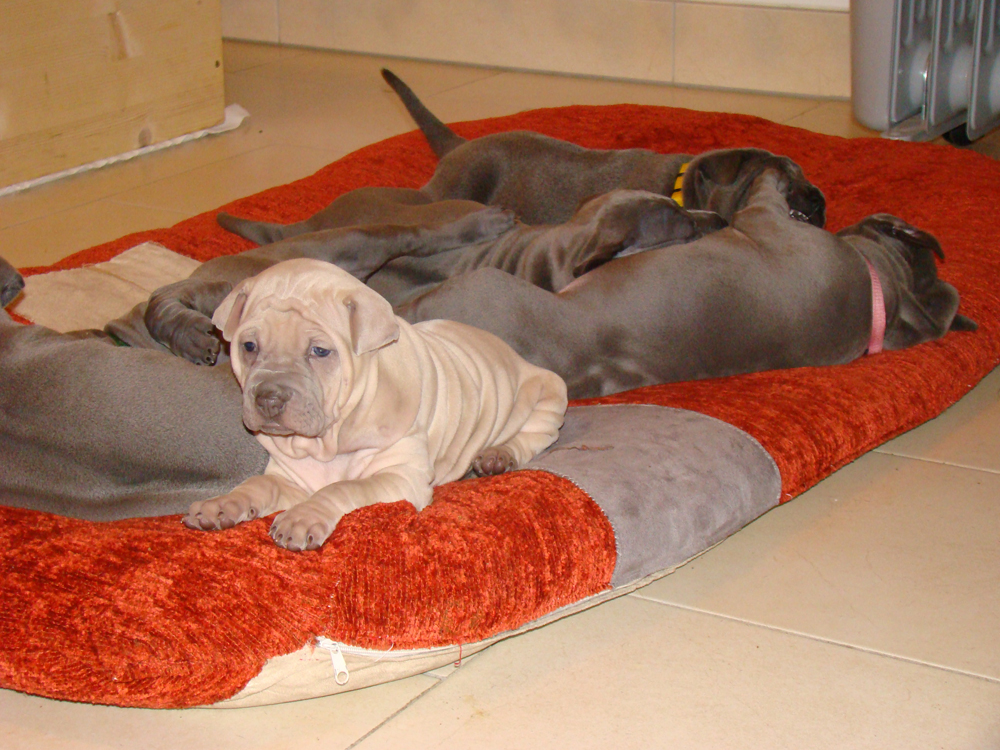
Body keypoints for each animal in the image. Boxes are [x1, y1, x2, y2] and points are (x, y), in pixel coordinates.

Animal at [183, 258, 568, 551]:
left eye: (319, 351)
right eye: (249, 346)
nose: (269, 398)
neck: (328, 442)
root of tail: (512, 353)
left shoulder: (400, 476)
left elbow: (346, 486)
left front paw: (304, 516)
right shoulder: (290, 478)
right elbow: (259, 485)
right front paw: (221, 505)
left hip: (549, 392)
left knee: (536, 435)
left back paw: (498, 455)